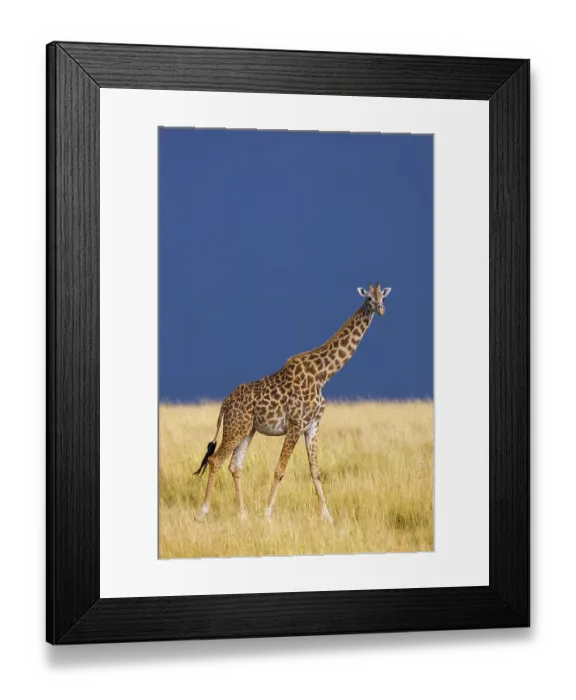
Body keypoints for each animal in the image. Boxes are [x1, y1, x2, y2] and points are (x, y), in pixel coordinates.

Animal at [194, 283, 392, 523]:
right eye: (369, 299)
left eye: (383, 297)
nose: (380, 309)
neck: (323, 374)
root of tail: (224, 404)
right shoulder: (296, 424)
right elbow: (280, 469)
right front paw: (268, 513)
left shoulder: (313, 425)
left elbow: (315, 470)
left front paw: (328, 516)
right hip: (235, 428)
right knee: (215, 460)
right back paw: (202, 512)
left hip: (247, 430)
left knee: (234, 465)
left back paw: (243, 515)